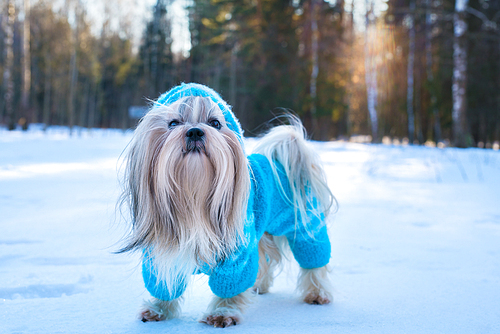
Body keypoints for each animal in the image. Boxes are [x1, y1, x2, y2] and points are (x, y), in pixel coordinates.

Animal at [118, 82, 334, 328]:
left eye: (215, 123)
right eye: (173, 123)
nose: (195, 131)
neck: (194, 195)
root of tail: (282, 161)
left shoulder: (236, 254)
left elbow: (230, 287)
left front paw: (223, 313)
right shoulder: (161, 255)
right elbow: (165, 285)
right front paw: (158, 309)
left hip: (304, 225)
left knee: (314, 260)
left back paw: (317, 293)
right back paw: (259, 286)